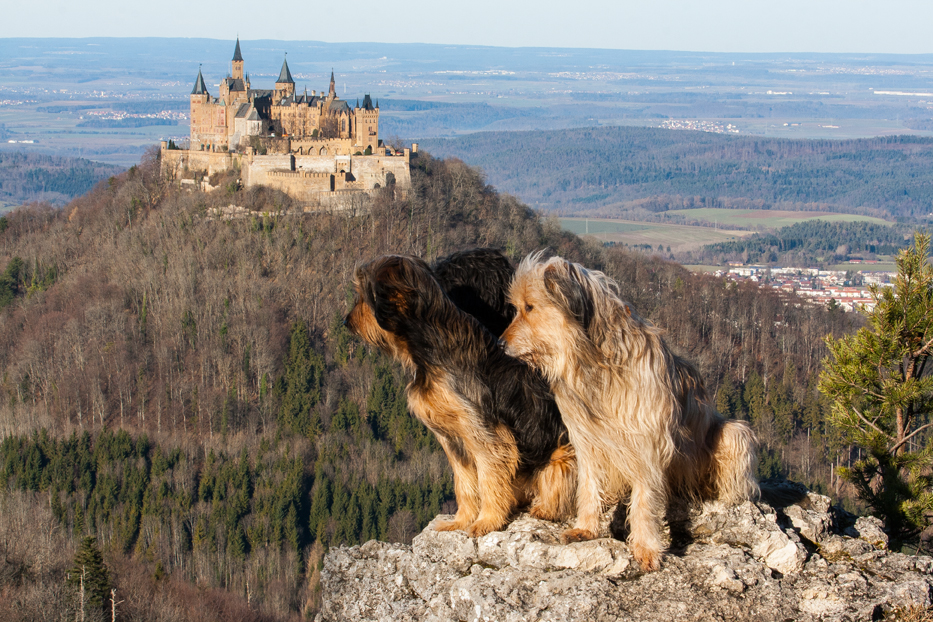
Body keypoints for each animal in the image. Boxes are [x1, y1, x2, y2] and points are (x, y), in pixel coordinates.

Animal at [345, 253, 576, 537]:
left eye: (362, 295)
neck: (431, 344)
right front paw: (462, 520)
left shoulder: (487, 435)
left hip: (561, 457)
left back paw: (544, 507)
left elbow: (489, 478)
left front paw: (487, 520)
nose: (346, 322)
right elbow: (464, 483)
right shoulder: (453, 439)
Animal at [502, 253, 758, 571]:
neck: (595, 362)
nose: (500, 343)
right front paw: (585, 527)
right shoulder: (586, 439)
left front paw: (646, 547)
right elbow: (588, 484)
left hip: (733, 434)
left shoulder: (648, 443)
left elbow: (645, 501)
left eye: (530, 307)